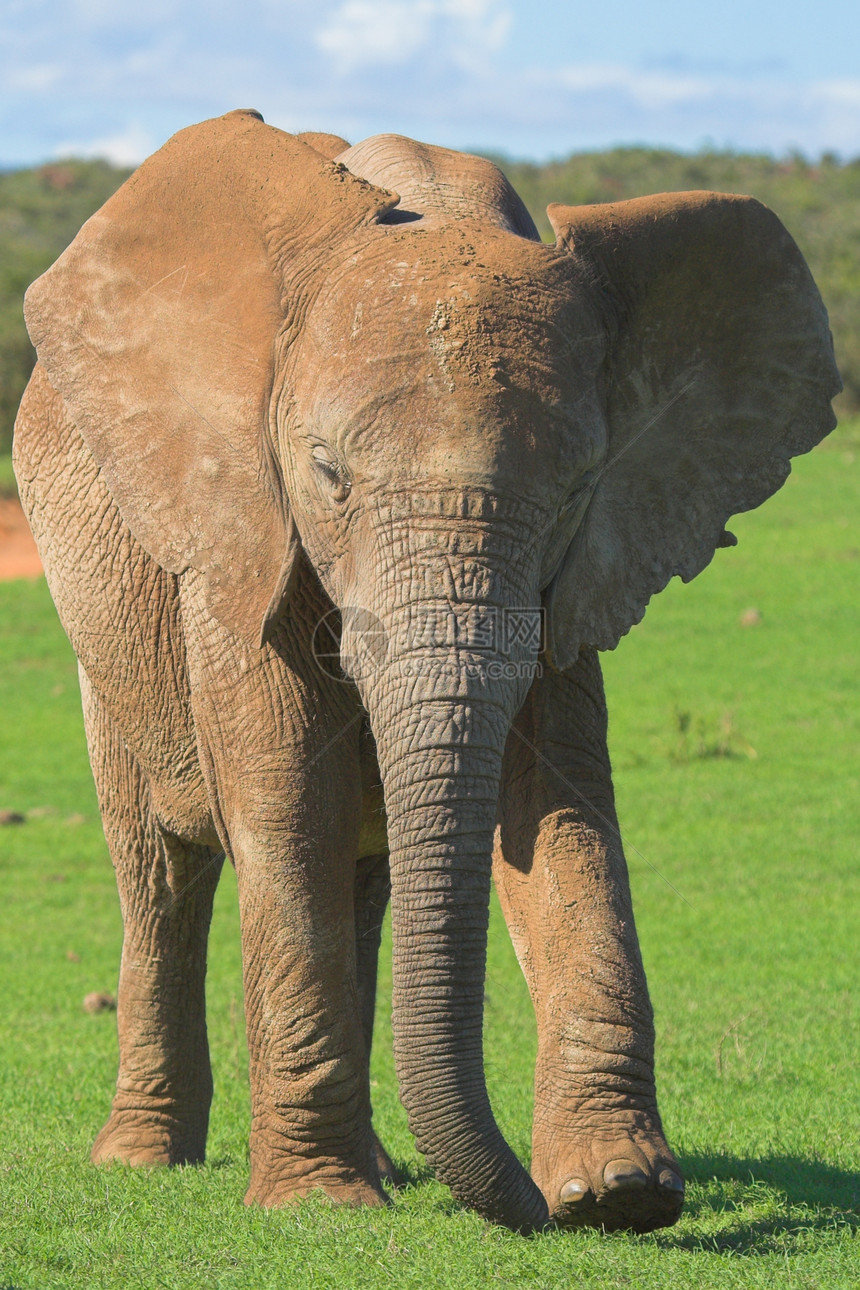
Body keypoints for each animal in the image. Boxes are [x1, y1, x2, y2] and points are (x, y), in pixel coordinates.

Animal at [13, 108, 840, 1228]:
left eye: (579, 483)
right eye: (327, 472)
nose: (534, 1203)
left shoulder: (572, 574)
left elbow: (559, 799)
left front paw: (617, 1190)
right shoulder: (239, 531)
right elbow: (285, 793)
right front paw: (316, 1209)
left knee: (361, 882)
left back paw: (379, 1162)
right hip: (103, 636)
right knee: (161, 867)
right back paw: (145, 1163)